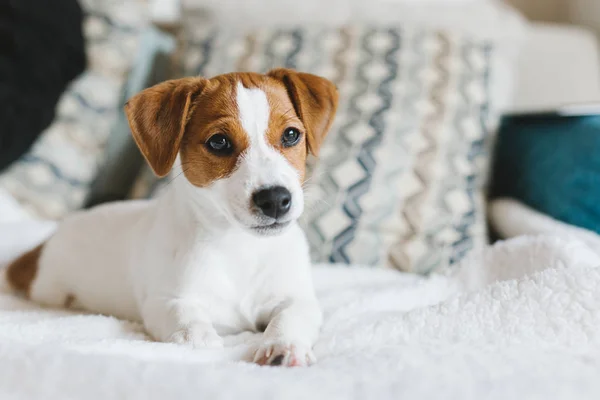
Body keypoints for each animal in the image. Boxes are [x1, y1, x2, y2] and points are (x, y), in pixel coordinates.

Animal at [5, 68, 338, 366]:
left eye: (291, 135)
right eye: (219, 142)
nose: (275, 199)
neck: (238, 245)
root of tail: (43, 246)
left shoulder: (296, 297)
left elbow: (292, 316)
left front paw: (283, 345)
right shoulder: (165, 301)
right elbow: (187, 323)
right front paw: (200, 339)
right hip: (50, 289)